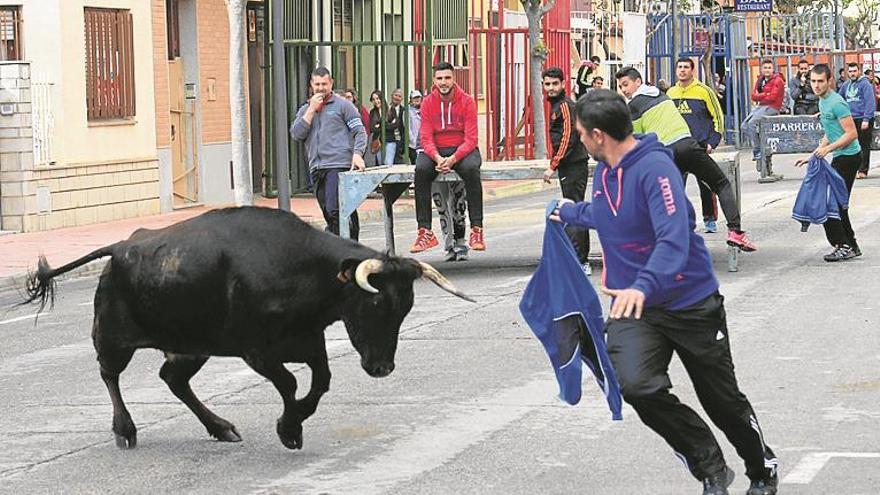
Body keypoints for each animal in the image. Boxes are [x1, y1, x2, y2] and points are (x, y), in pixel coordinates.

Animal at [20, 205, 474, 450]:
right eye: (375, 301)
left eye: (406, 308)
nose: (382, 369)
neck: (301, 271)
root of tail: (121, 247)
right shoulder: (257, 351)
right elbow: (290, 383)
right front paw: (289, 430)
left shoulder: (308, 341)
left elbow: (320, 382)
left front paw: (294, 423)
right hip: (113, 337)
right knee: (110, 375)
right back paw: (125, 430)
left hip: (192, 345)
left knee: (173, 378)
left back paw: (220, 428)